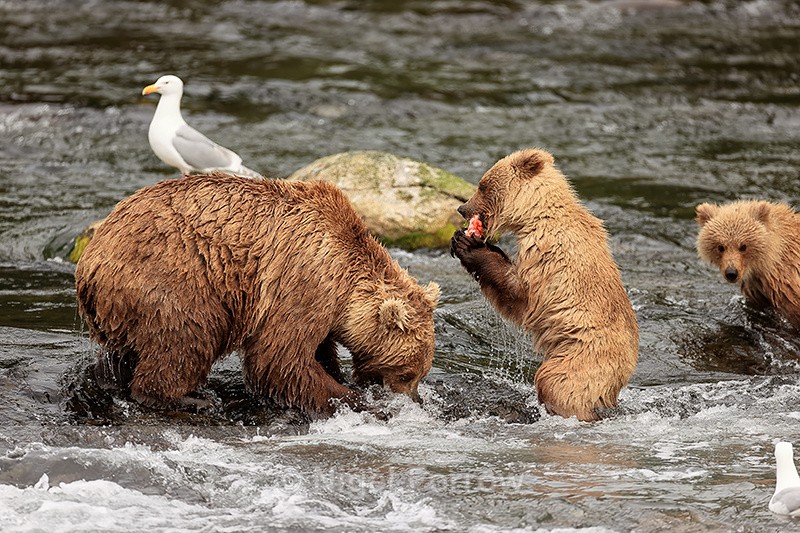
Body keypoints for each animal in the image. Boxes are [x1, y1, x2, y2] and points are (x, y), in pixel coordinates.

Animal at [75, 173, 440, 416]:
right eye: (406, 373)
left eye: (420, 373)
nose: (415, 399)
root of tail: (87, 262)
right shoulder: (304, 278)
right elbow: (279, 357)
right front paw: (352, 398)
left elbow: (318, 349)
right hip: (171, 279)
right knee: (187, 335)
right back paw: (193, 397)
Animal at [450, 148, 639, 422]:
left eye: (482, 185)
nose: (462, 207)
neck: (535, 216)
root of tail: (628, 368)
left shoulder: (546, 255)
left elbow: (519, 296)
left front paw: (470, 246)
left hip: (584, 357)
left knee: (557, 384)